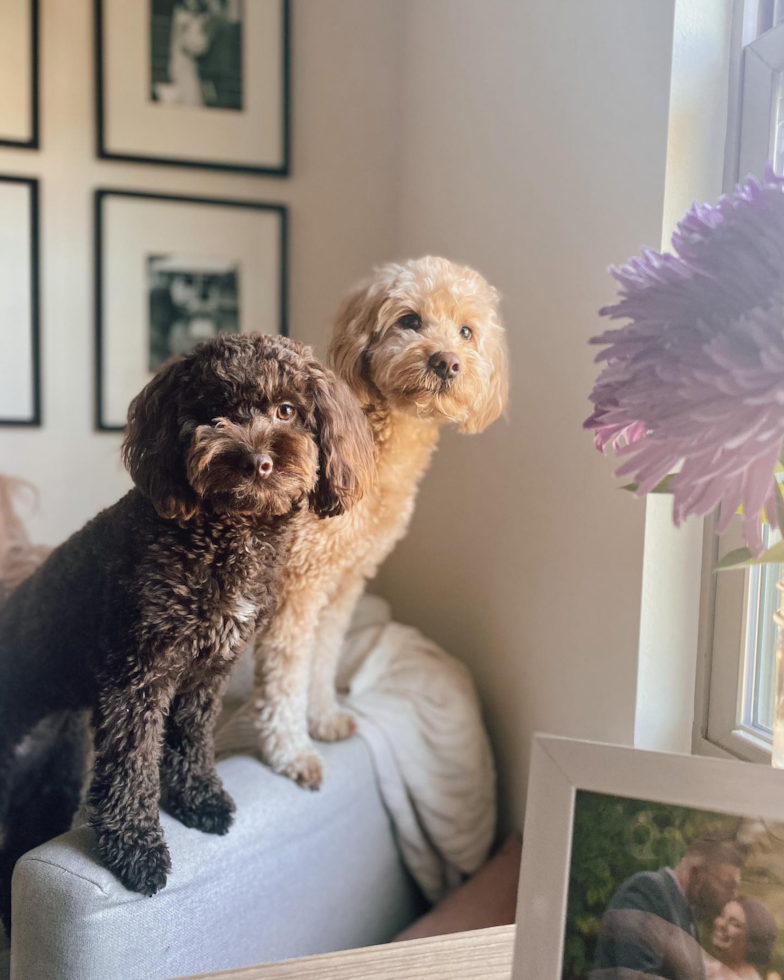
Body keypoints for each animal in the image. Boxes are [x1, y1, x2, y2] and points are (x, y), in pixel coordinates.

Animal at [248, 255, 512, 788]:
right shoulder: (297, 585)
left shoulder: (343, 581)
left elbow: (323, 658)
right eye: (409, 320)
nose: (446, 362)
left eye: (467, 331)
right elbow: (286, 675)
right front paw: (292, 753)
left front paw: (324, 719)